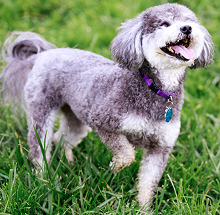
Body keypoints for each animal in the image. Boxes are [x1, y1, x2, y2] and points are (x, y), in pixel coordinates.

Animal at [0, 2, 213, 207]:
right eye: (164, 24)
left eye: (190, 21)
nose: (187, 28)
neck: (155, 89)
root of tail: (43, 54)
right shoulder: (103, 122)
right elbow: (126, 154)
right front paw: (114, 167)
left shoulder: (160, 147)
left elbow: (147, 183)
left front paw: (143, 208)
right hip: (41, 111)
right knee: (39, 147)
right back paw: (42, 178)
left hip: (75, 115)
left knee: (62, 138)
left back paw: (68, 162)